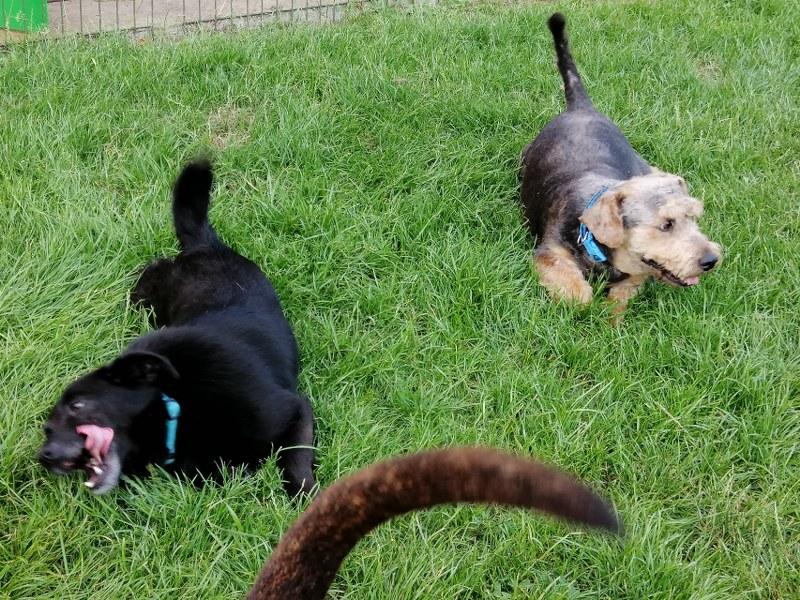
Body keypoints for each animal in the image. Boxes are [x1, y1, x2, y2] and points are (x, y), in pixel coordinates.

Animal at [38, 160, 315, 496]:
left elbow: (296, 462)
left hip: (149, 290)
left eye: (77, 405)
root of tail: (204, 246)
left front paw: (309, 498)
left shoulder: (295, 410)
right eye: (47, 430)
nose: (44, 456)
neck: (178, 406)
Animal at [520, 13, 722, 313]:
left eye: (693, 217)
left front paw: (609, 316)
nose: (711, 260)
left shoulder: (635, 276)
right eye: (666, 225)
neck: (593, 238)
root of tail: (581, 107)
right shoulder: (550, 252)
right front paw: (582, 302)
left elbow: (620, 298)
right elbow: (577, 293)